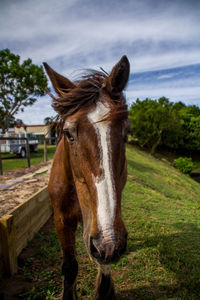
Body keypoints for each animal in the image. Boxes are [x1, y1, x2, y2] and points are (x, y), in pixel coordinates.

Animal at [43, 55, 130, 298]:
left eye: (126, 133)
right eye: (68, 134)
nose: (110, 241)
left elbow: (104, 267)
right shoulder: (62, 221)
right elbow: (70, 267)